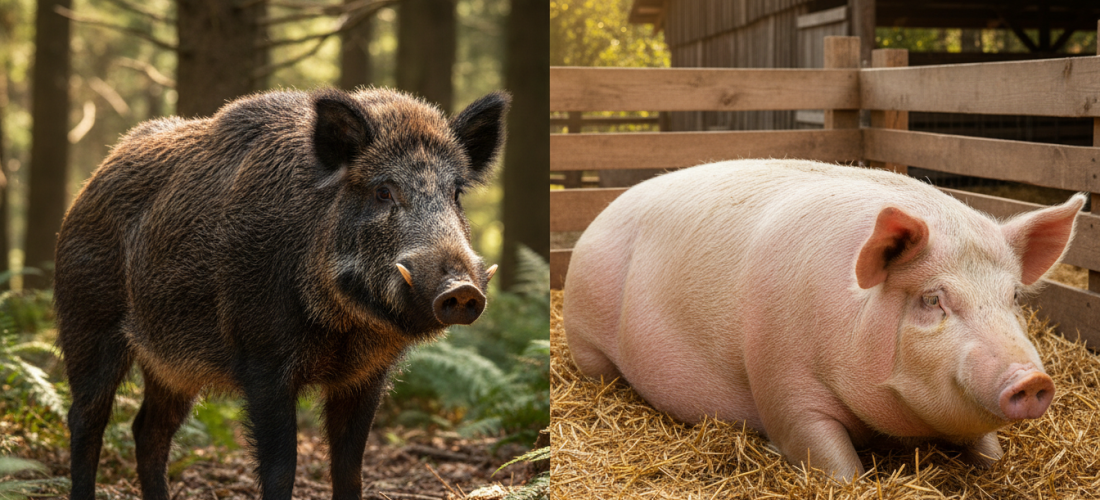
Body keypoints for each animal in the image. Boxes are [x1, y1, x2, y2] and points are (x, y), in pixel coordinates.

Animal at [55, 88, 509, 500]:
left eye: (456, 194)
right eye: (384, 191)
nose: (462, 290)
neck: (344, 326)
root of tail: (93, 178)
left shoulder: (367, 375)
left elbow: (350, 469)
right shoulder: (264, 361)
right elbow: (280, 470)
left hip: (171, 365)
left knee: (149, 431)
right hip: (87, 322)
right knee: (85, 420)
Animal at [564, 159, 1082, 481]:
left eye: (1012, 296)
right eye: (932, 299)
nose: (1032, 379)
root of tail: (605, 210)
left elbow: (989, 448)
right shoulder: (778, 372)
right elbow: (831, 461)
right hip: (584, 336)